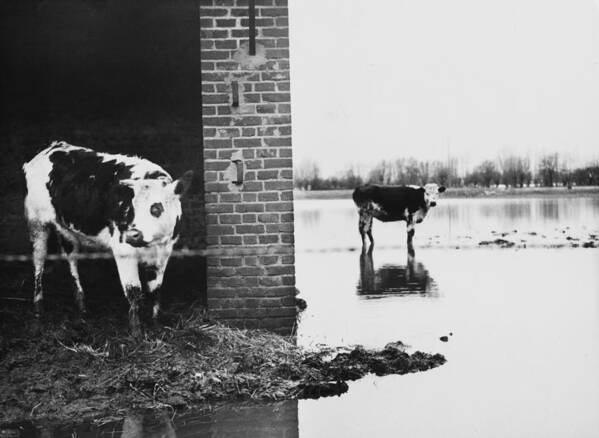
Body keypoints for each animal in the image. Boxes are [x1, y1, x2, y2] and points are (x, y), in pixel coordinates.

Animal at [22, 142, 192, 338]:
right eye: (132, 208)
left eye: (156, 207)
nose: (132, 234)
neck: (153, 244)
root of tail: (51, 147)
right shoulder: (123, 250)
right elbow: (134, 290)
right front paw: (136, 332)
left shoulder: (164, 252)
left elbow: (155, 289)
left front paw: (156, 324)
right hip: (37, 223)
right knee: (39, 262)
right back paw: (38, 309)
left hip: (65, 230)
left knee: (71, 259)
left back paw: (81, 306)